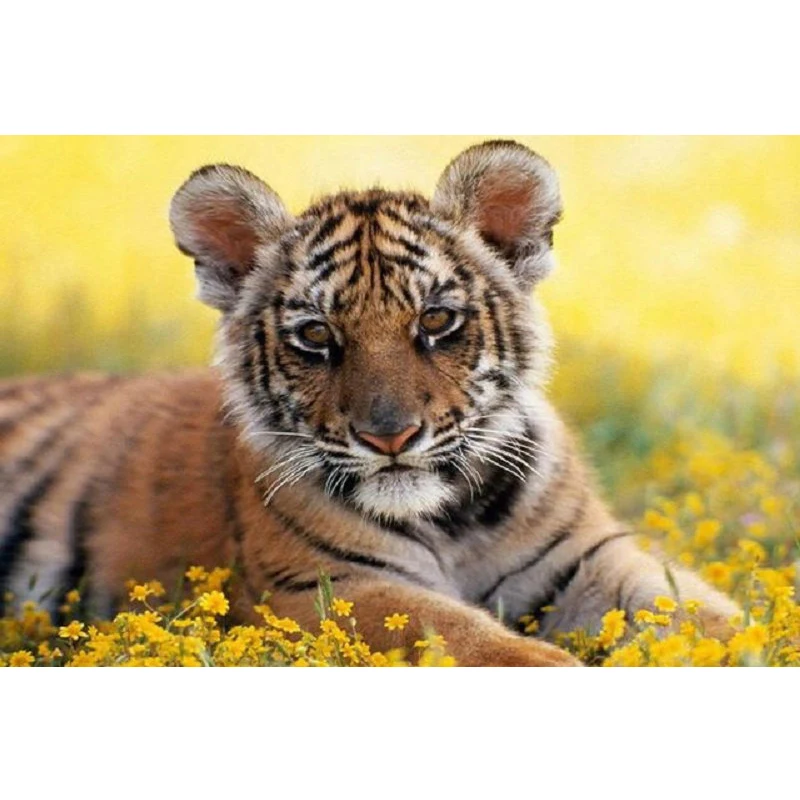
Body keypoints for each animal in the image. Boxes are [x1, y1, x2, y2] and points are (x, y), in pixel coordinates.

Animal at [0, 140, 740, 666]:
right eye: (316, 335)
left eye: (436, 320)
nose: (390, 437)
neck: (453, 520)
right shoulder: (324, 584)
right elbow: (467, 636)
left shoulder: (588, 557)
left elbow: (699, 610)